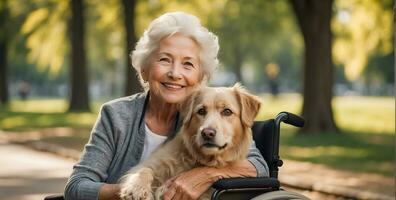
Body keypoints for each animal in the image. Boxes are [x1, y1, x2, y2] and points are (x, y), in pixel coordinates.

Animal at [120, 85, 262, 200]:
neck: (199, 159)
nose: (207, 133)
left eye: (227, 111)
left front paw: (162, 189)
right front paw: (136, 189)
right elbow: (143, 170)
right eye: (201, 111)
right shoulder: (152, 163)